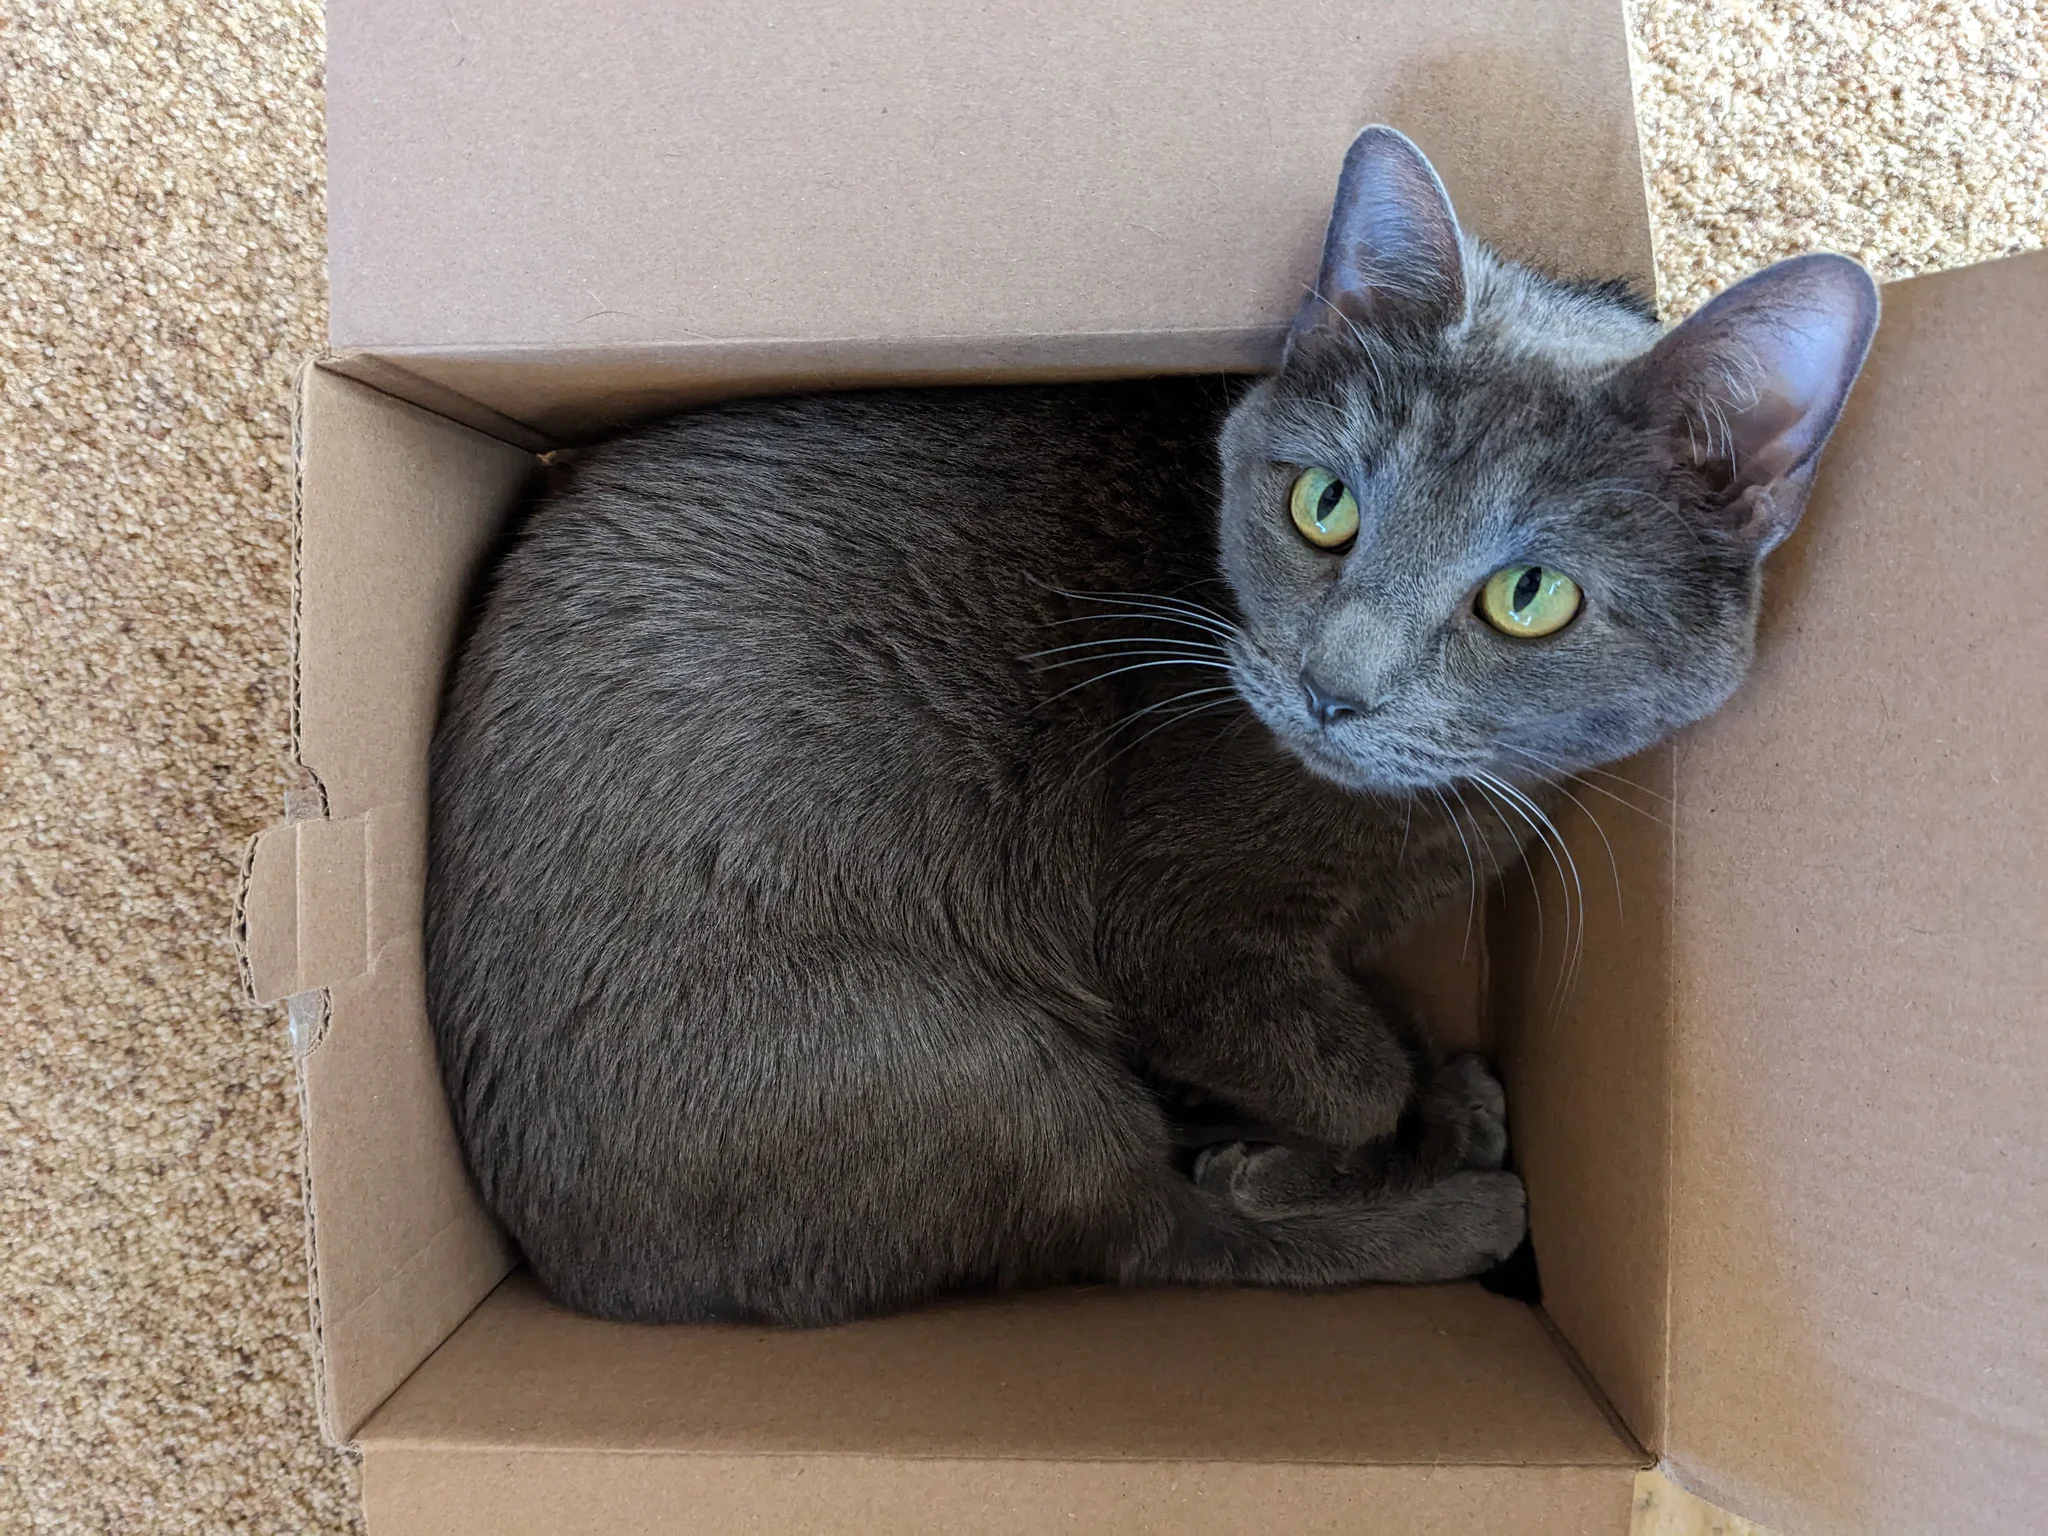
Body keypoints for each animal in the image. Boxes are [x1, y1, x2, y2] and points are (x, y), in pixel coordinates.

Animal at [428, 129, 1875, 1327]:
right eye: (1324, 508)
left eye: (1530, 596)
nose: (1334, 687)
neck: (1419, 829)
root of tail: (582, 1273)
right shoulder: (1171, 923)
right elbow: (1337, 1072)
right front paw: (1355, 1136)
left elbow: (1351, 1032)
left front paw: (1405, 1095)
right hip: (964, 1066)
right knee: (1152, 1239)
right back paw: (1440, 1207)